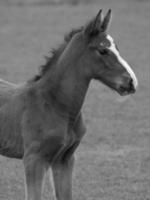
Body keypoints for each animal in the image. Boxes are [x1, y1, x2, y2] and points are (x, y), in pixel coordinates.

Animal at [0, 9, 137, 200]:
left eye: (117, 48)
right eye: (102, 50)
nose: (132, 82)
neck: (54, 104)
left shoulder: (65, 159)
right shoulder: (33, 160)